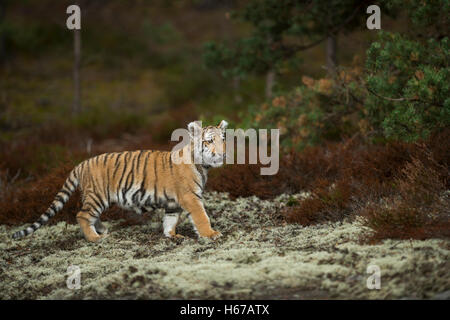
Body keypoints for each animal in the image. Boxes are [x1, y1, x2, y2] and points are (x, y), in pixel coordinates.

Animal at [12, 120, 229, 242]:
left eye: (223, 139)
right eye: (209, 141)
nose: (223, 154)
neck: (203, 166)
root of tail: (81, 164)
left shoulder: (172, 204)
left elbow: (170, 220)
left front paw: (172, 236)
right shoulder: (190, 197)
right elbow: (201, 217)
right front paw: (211, 234)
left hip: (96, 198)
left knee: (89, 215)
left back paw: (102, 230)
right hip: (97, 196)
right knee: (82, 215)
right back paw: (95, 238)